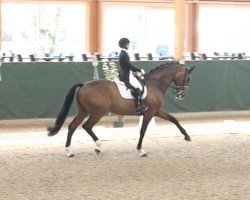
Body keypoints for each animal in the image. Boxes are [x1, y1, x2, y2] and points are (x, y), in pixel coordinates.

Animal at [47, 61, 195, 157]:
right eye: (188, 78)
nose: (182, 95)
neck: (155, 84)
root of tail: (84, 85)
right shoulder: (150, 113)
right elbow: (142, 131)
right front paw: (141, 150)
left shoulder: (157, 111)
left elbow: (173, 119)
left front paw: (187, 136)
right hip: (97, 112)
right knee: (87, 126)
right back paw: (98, 146)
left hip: (84, 111)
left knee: (72, 126)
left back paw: (69, 151)